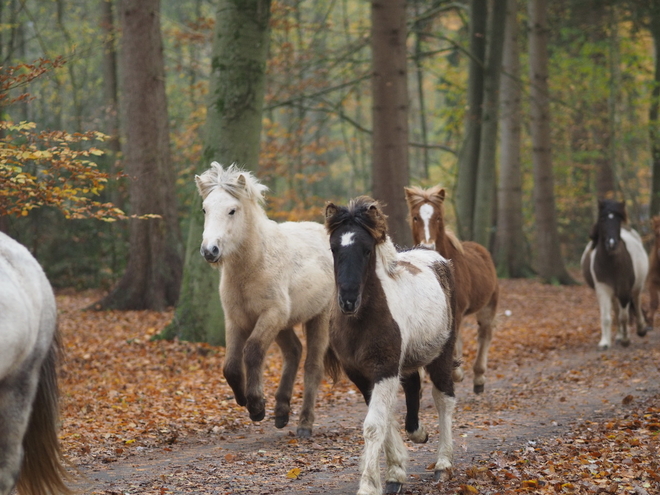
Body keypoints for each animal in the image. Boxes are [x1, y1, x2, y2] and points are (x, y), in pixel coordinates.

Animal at [193, 163, 332, 438]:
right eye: (205, 209)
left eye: (232, 210)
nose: (209, 251)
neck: (254, 265)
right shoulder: (237, 320)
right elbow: (230, 366)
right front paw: (243, 400)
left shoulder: (270, 315)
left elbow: (253, 351)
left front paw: (256, 406)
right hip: (283, 324)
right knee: (294, 352)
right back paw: (281, 412)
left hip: (317, 317)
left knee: (312, 366)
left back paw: (304, 424)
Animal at [324, 198, 458, 495]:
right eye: (334, 248)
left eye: (366, 250)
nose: (348, 300)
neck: (361, 322)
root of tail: (436, 258)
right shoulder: (360, 374)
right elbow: (384, 421)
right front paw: (395, 473)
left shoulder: (384, 368)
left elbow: (374, 425)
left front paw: (368, 486)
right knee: (413, 385)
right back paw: (418, 433)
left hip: (442, 353)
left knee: (444, 398)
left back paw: (443, 465)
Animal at [402, 186, 500, 396]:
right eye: (415, 217)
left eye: (438, 217)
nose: (428, 245)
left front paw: (457, 374)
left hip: (488, 305)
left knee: (484, 334)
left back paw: (478, 379)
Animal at [584, 200, 648, 350]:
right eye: (602, 219)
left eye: (618, 220)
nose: (611, 244)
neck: (611, 262)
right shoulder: (603, 288)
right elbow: (607, 317)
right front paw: (604, 342)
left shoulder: (624, 289)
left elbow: (624, 317)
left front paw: (626, 340)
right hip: (613, 292)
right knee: (616, 308)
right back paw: (618, 336)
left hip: (636, 287)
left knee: (636, 302)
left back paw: (641, 329)